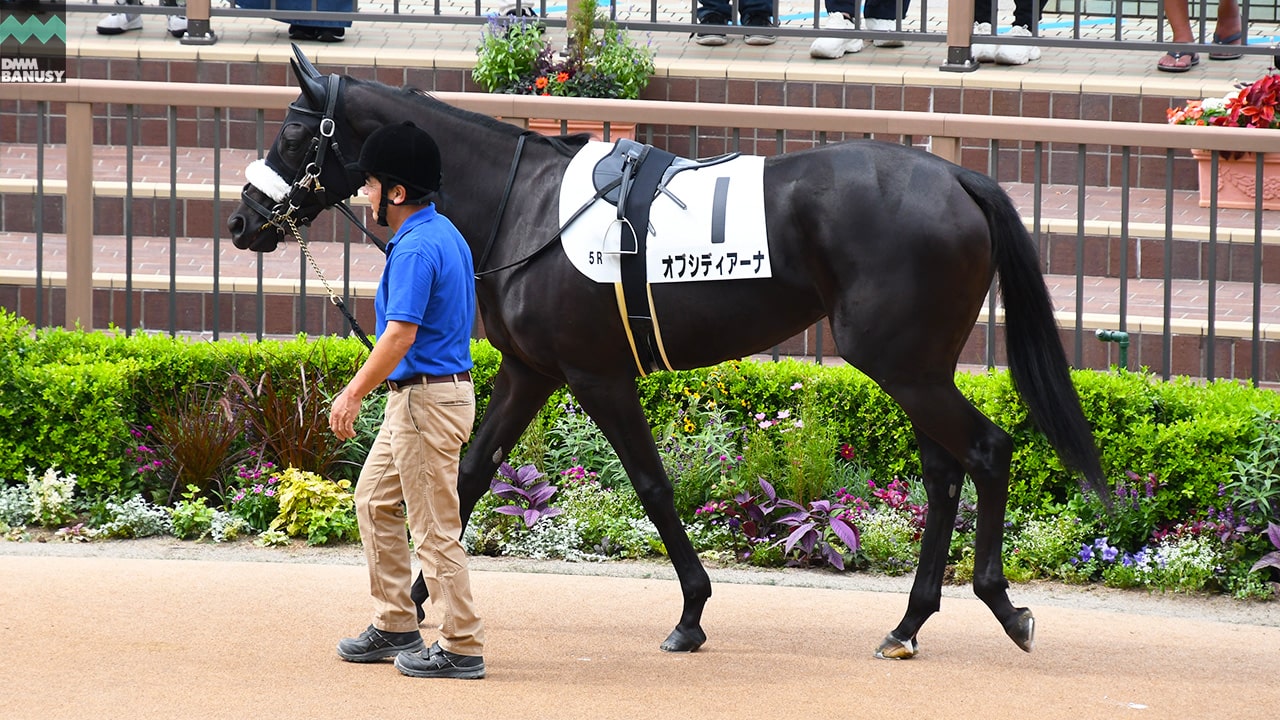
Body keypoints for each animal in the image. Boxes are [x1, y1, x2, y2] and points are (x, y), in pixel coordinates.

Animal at [227, 47, 1100, 661]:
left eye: (297, 131)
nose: (242, 222)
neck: (526, 208)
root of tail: (958, 177)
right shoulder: (531, 372)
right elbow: (470, 477)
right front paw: (407, 607)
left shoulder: (597, 374)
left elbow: (651, 485)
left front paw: (690, 614)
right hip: (919, 366)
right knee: (945, 472)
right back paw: (909, 623)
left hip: (904, 363)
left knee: (986, 451)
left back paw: (1003, 605)